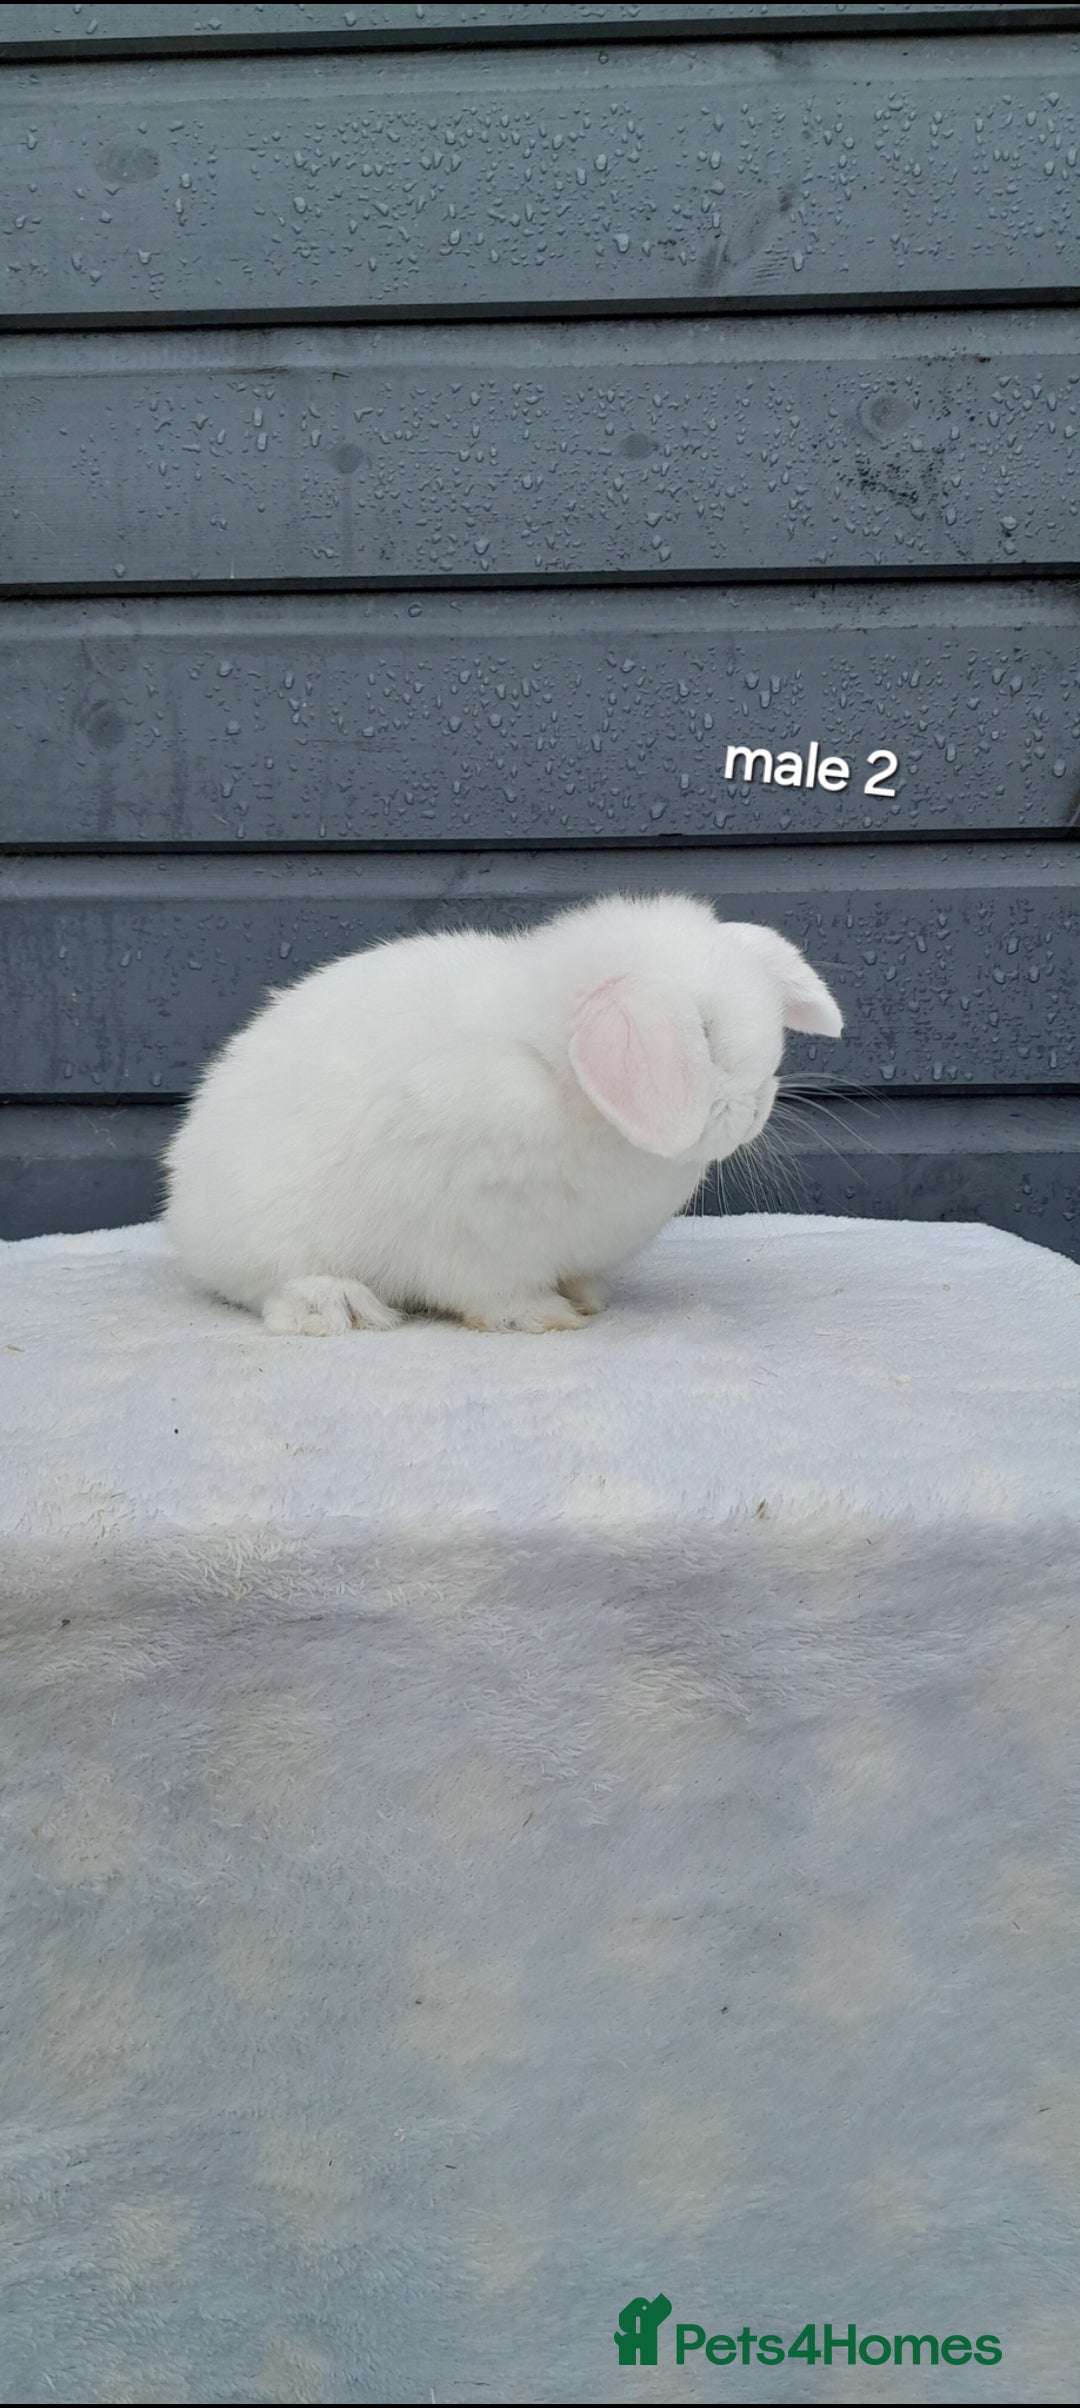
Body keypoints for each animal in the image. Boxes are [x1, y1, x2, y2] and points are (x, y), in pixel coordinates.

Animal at [163, 892, 842, 1334]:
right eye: (702, 1033)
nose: (757, 1109)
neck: (552, 1069)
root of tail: (182, 1204)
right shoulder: (474, 1238)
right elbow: (494, 1292)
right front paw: (545, 1316)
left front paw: (588, 1297)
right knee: (273, 1288)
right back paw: (339, 1307)